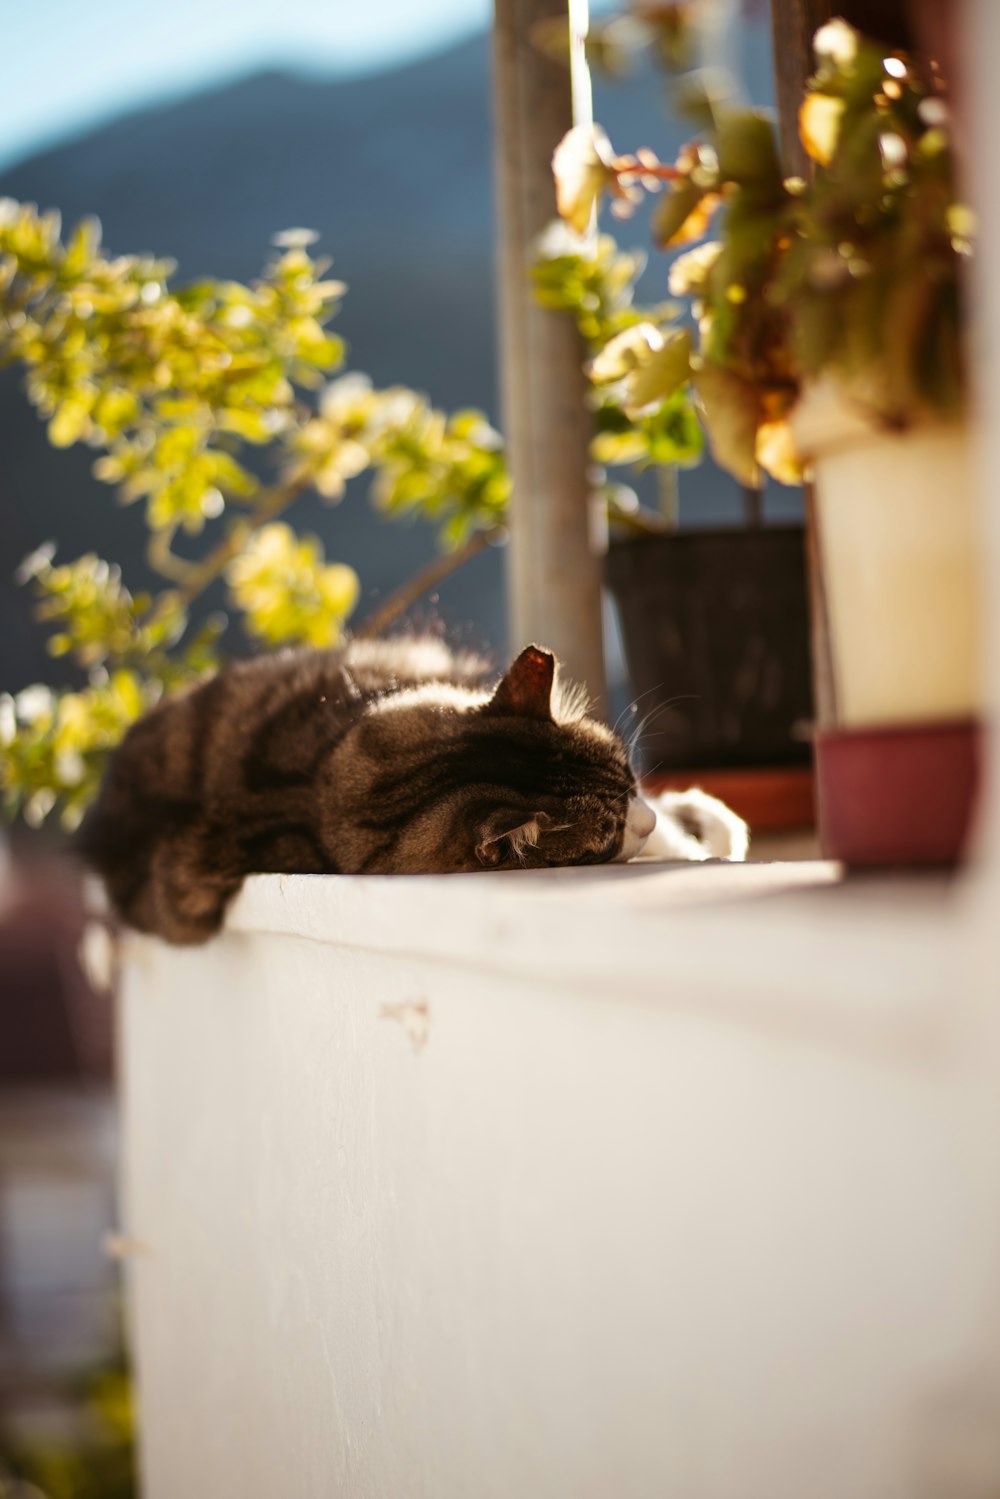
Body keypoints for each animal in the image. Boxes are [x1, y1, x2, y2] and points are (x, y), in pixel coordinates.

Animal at [80, 635, 743, 941]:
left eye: (629, 775)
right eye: (606, 838)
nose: (645, 820)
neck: (317, 795)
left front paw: (695, 826)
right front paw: (696, 843)